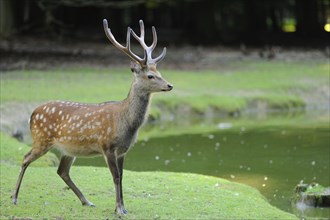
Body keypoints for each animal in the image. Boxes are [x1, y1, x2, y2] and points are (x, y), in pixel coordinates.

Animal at [12, 18, 173, 215]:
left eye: (160, 73)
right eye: (150, 76)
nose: (169, 85)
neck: (126, 123)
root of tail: (32, 114)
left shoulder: (123, 150)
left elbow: (122, 176)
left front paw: (123, 207)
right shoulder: (107, 146)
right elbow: (116, 177)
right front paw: (119, 209)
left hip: (67, 149)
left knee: (62, 171)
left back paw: (87, 201)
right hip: (42, 139)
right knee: (26, 158)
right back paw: (14, 197)